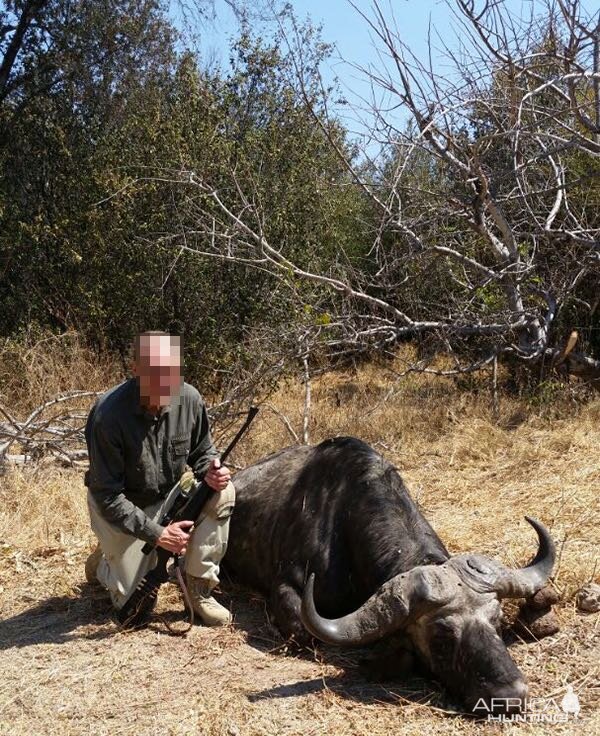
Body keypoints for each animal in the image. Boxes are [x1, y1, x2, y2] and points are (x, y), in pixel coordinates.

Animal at [223, 436, 556, 712]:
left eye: (495, 620)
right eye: (442, 635)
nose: (510, 695)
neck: (342, 528)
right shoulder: (285, 588)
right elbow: (305, 633)